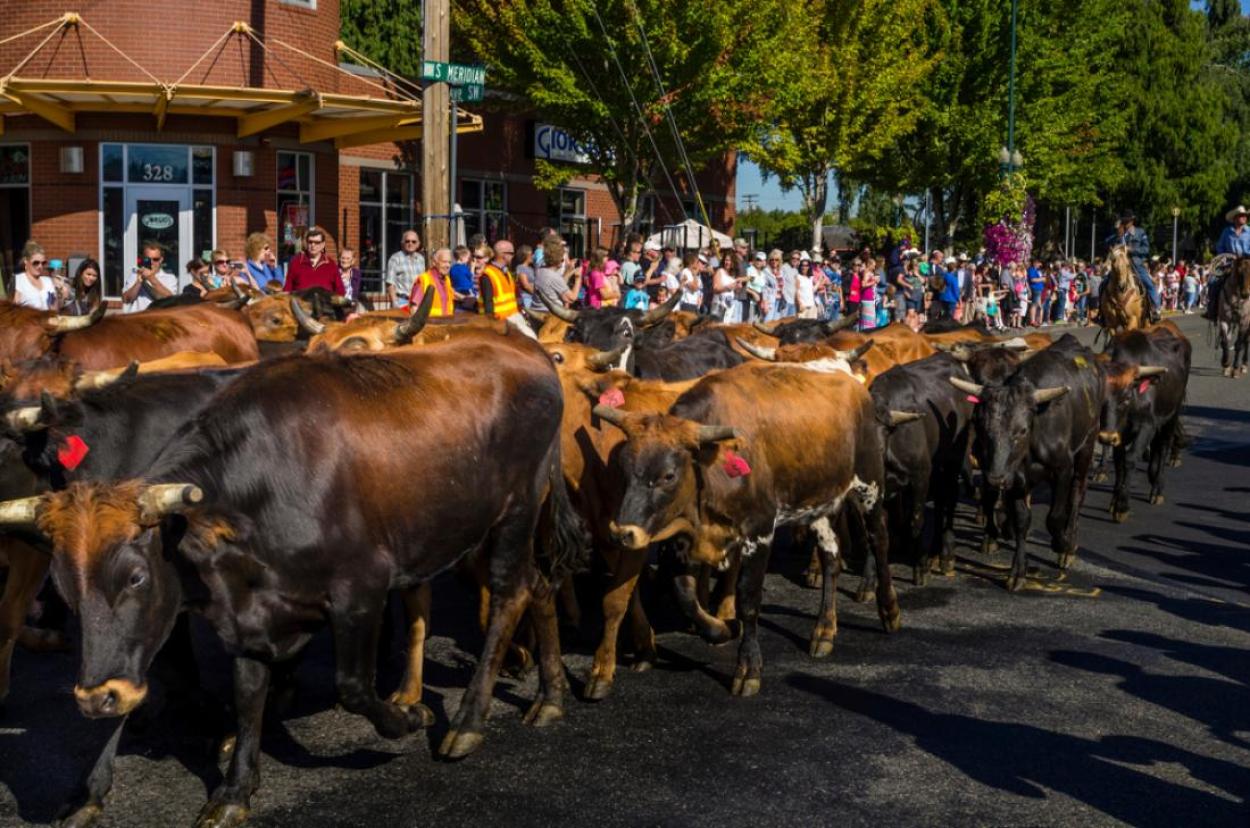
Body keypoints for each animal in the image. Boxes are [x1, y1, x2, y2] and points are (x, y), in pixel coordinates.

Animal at [945, 335, 1105, 592]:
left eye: (1021, 431)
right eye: (984, 429)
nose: (995, 477)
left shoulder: (1063, 468)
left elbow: (1054, 517)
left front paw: (1061, 543)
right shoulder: (1015, 479)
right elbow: (1021, 520)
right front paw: (1018, 571)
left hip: (1087, 444)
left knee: (1077, 493)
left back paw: (1069, 544)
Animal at [1100, 322, 1185, 522]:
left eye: (1125, 398)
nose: (1106, 437)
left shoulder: (1147, 427)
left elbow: (1130, 459)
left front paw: (1122, 506)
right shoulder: (1118, 435)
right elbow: (1119, 462)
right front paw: (1114, 500)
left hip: (1172, 415)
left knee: (1164, 446)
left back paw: (1157, 489)